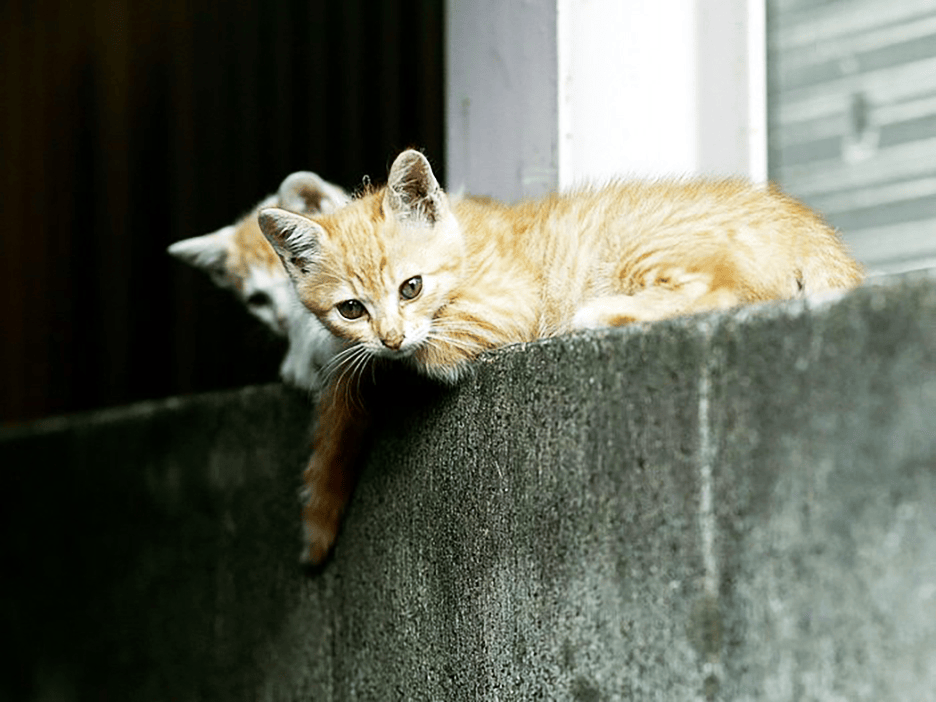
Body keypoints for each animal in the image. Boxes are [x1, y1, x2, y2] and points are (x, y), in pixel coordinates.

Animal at [254, 150, 864, 568]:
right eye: (351, 308)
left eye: (411, 287)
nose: (388, 335)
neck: (466, 244)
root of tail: (816, 235)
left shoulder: (503, 310)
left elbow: (414, 358)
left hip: (640, 245)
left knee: (723, 291)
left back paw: (599, 313)